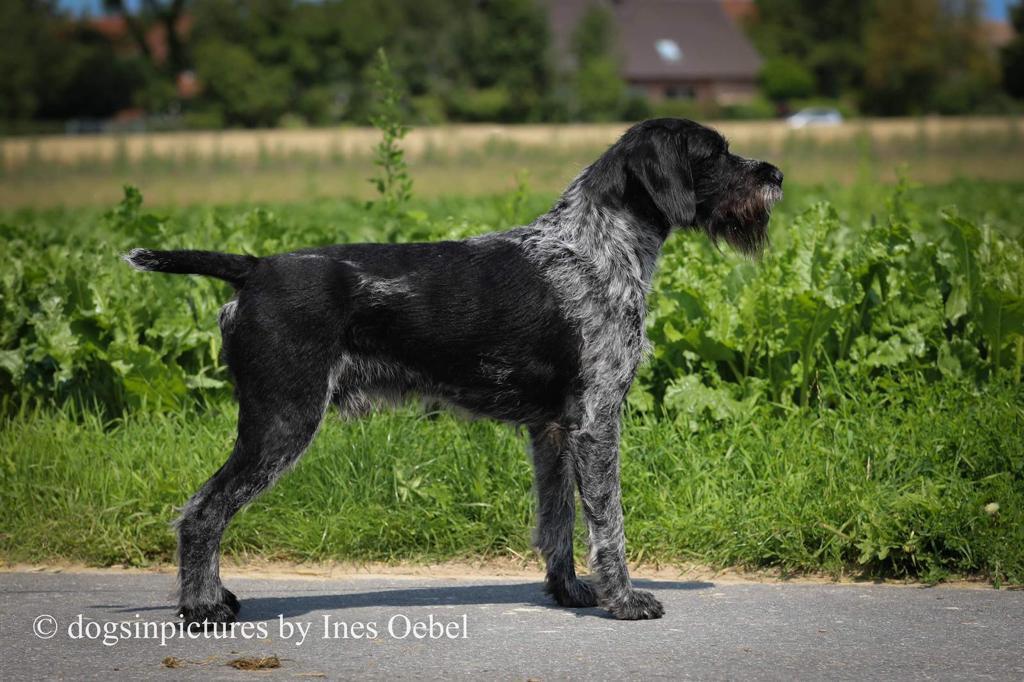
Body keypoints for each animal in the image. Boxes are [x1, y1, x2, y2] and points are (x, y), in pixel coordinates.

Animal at [125, 118, 782, 622]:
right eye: (714, 153)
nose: (775, 174)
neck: (599, 245)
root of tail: (254, 268)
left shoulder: (554, 432)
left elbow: (559, 522)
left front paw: (570, 592)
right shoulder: (597, 423)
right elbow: (608, 523)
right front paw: (623, 601)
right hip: (280, 423)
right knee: (202, 512)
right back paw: (203, 607)